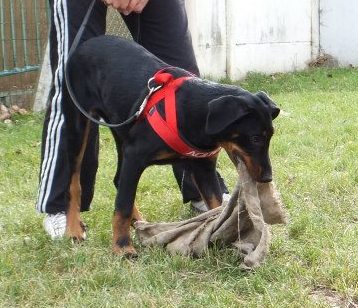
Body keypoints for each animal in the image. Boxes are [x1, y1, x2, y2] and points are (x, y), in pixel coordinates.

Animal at [65, 36, 282, 256]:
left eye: (270, 136)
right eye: (255, 138)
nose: (267, 177)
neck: (191, 113)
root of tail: (85, 44)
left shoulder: (204, 167)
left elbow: (216, 206)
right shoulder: (135, 157)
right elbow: (122, 206)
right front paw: (122, 247)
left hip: (121, 131)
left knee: (119, 180)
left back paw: (139, 221)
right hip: (79, 123)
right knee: (74, 183)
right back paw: (74, 230)